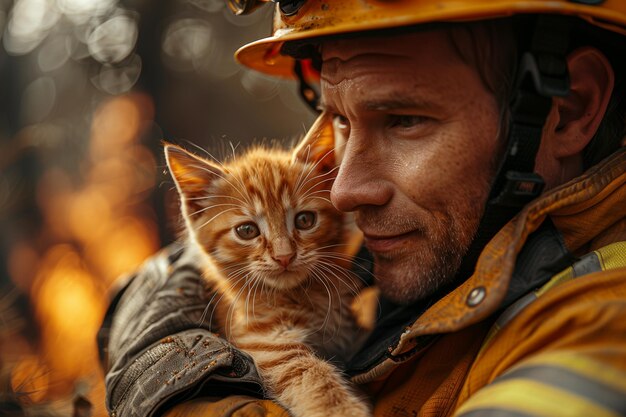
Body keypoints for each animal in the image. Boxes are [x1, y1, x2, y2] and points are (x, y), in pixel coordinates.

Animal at [165, 115, 370, 416]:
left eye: (305, 220)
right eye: (247, 230)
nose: (284, 256)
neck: (300, 296)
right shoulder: (263, 341)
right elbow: (308, 373)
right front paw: (341, 409)